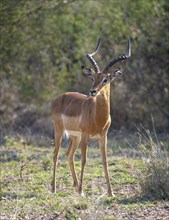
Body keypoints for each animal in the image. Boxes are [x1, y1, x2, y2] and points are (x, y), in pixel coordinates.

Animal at [51, 38, 131, 197]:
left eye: (105, 79)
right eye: (93, 77)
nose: (92, 91)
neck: (98, 117)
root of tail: (60, 97)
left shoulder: (103, 136)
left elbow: (105, 161)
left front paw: (111, 193)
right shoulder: (86, 135)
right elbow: (84, 160)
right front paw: (82, 192)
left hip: (75, 136)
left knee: (69, 154)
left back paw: (75, 185)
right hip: (60, 131)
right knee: (56, 155)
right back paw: (54, 189)